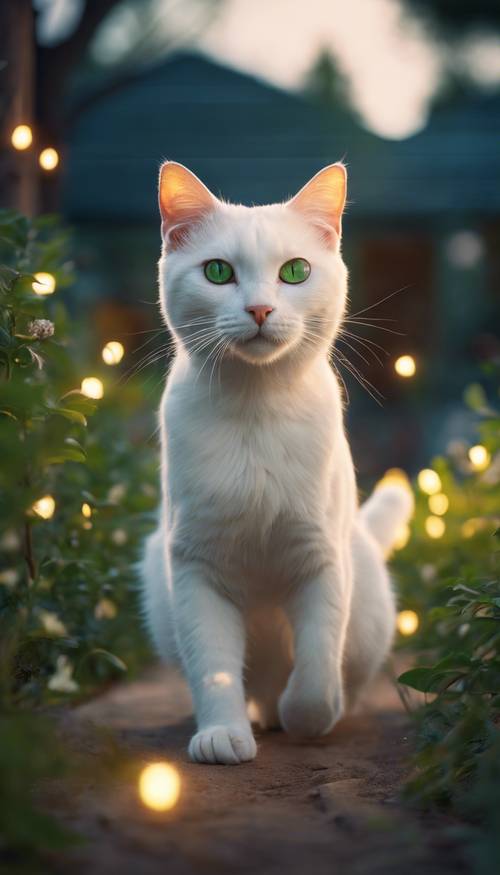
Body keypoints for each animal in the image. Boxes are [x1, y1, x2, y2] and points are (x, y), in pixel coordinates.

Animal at [141, 161, 414, 764]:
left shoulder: (322, 558)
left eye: (295, 271)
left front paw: (310, 717)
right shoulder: (194, 567)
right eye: (218, 272)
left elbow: (316, 663)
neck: (255, 413)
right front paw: (222, 733)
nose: (260, 309)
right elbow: (213, 666)